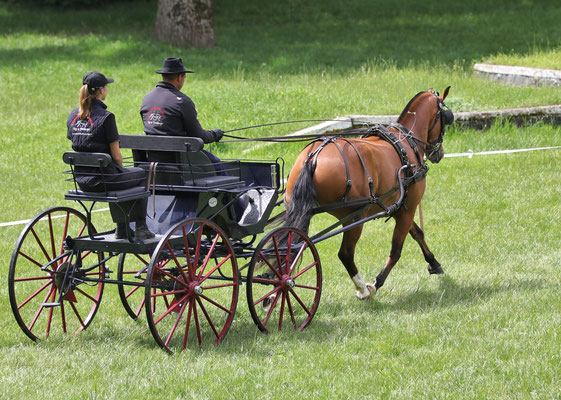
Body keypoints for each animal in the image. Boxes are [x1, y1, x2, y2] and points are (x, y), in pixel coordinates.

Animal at [284, 88, 450, 300]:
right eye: (446, 116)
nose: (440, 153)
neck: (406, 141)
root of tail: (313, 156)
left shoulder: (400, 207)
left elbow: (417, 233)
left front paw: (433, 262)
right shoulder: (408, 208)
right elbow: (396, 250)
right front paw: (377, 283)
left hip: (301, 213)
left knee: (289, 247)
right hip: (354, 218)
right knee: (345, 254)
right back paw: (363, 288)